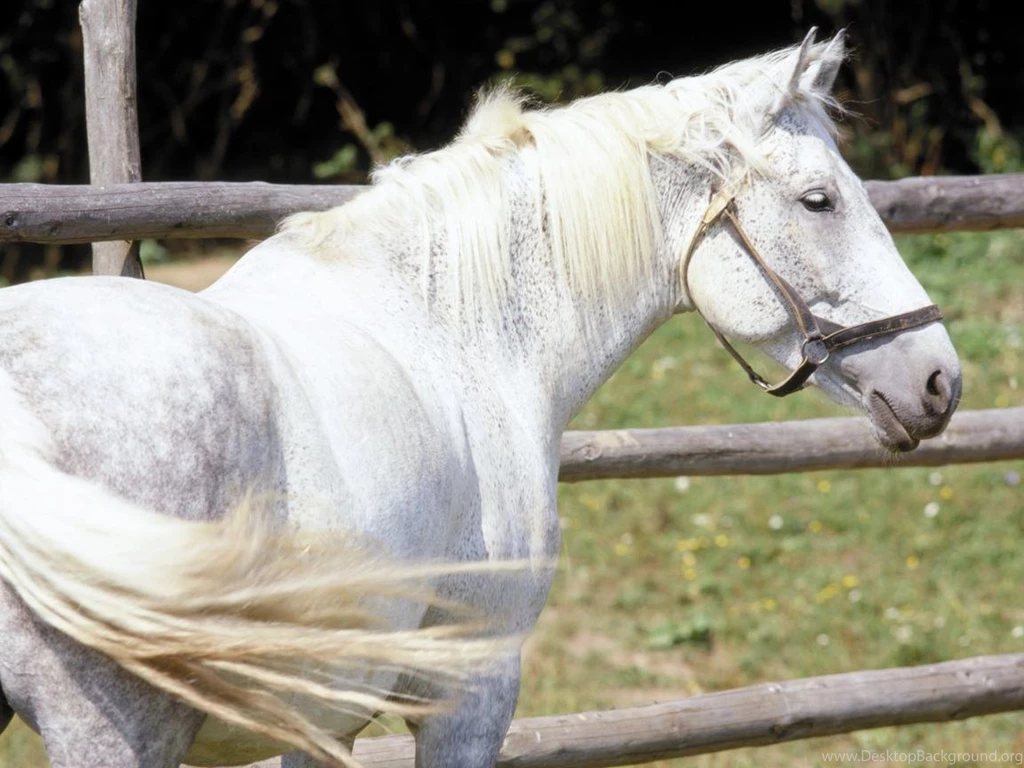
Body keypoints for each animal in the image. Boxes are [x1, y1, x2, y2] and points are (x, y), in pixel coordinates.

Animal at [0, 30, 960, 768]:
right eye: (819, 200)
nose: (940, 381)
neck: (456, 330)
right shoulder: (472, 690)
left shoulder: (319, 714)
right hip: (116, 729)